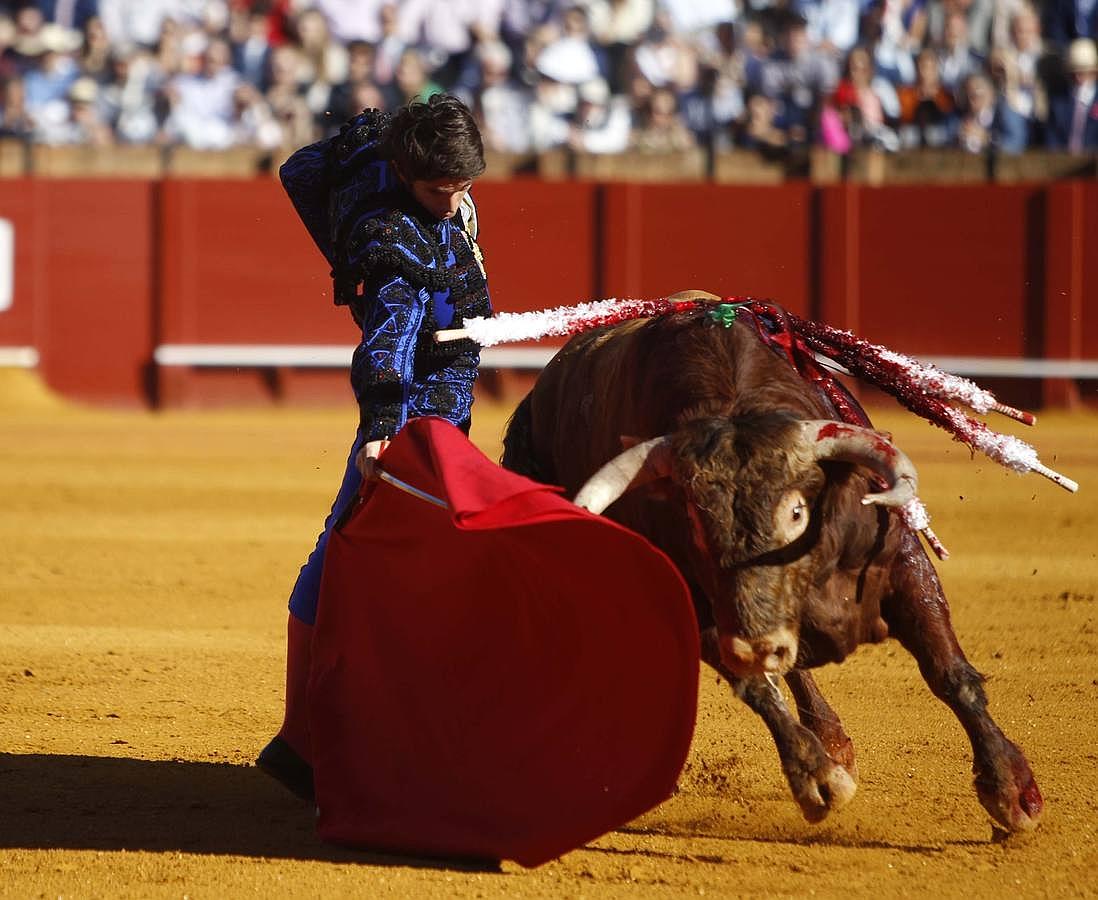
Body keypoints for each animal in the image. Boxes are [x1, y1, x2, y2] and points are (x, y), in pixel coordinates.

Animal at [502, 298, 1040, 834]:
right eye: (696, 523)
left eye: (797, 512)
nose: (755, 643)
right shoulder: (705, 613)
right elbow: (759, 687)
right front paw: (818, 778)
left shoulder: (899, 562)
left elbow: (946, 669)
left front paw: (1011, 789)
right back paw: (829, 752)